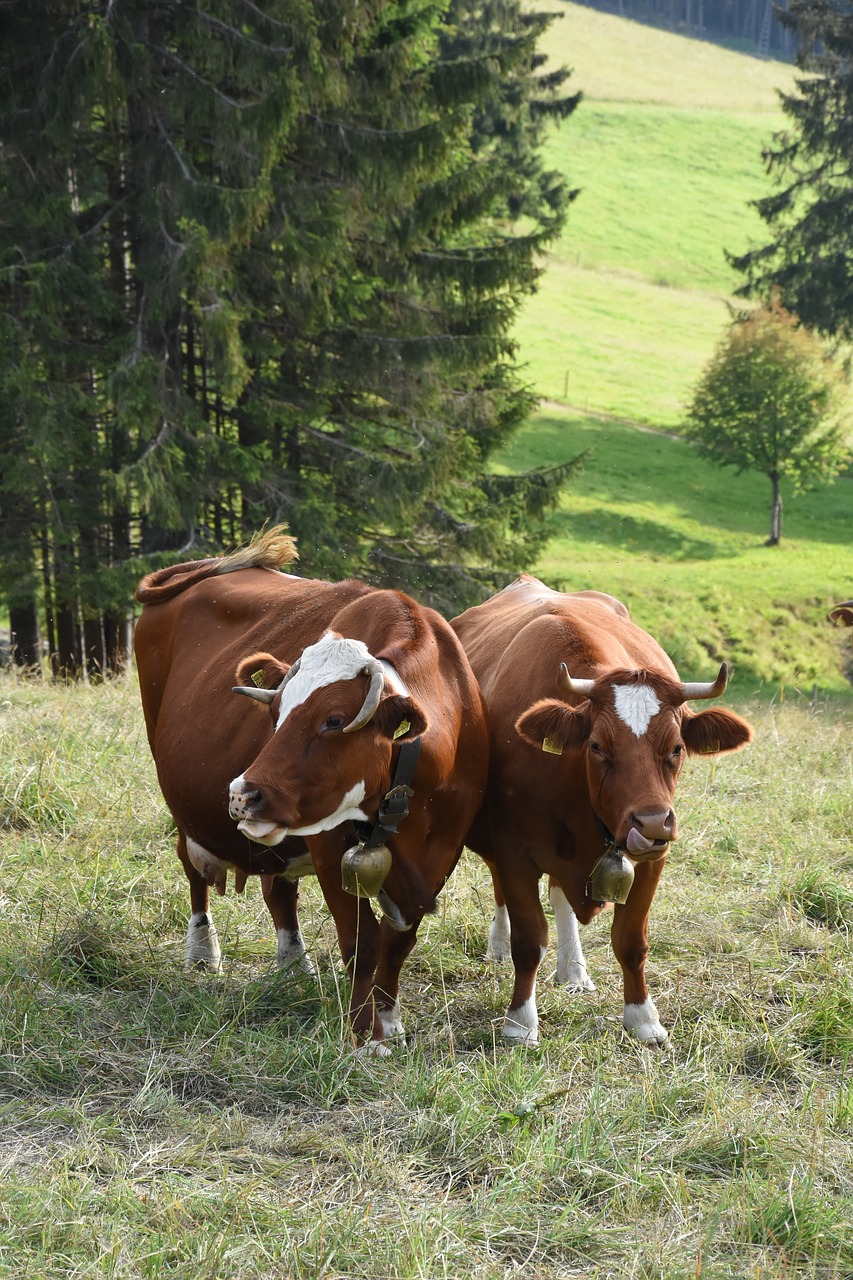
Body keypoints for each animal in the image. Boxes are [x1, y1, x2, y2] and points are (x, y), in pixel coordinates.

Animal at [136, 524, 489, 1054]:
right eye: (275, 713)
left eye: (334, 720)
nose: (243, 796)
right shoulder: (330, 848)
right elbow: (362, 944)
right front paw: (365, 1035)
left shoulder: (441, 854)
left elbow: (398, 941)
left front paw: (390, 1019)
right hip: (179, 794)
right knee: (192, 863)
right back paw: (202, 950)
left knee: (278, 889)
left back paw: (293, 966)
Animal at [450, 576, 753, 1044]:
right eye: (597, 746)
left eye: (676, 748)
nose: (652, 823)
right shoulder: (515, 852)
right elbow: (528, 940)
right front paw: (520, 1022)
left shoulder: (652, 860)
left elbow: (630, 940)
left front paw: (643, 1018)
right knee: (502, 890)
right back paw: (499, 947)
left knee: (561, 894)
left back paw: (574, 970)